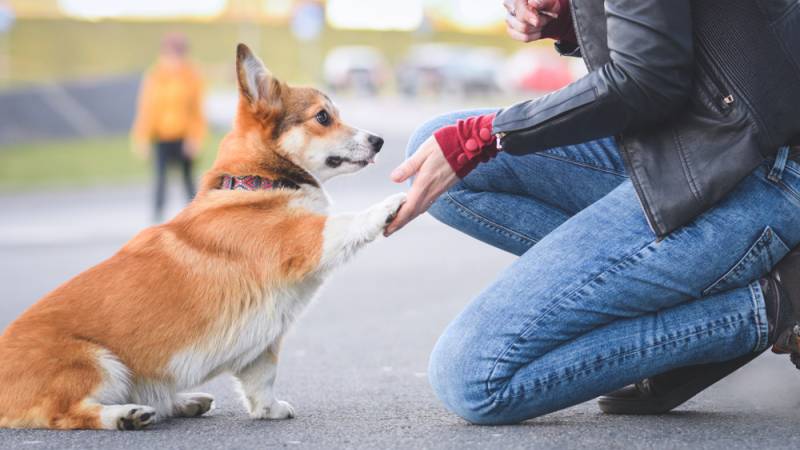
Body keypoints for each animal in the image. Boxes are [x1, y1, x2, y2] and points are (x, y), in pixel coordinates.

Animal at [0, 44, 404, 430]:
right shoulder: (303, 240)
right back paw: (127, 415)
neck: (260, 181)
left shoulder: (265, 340)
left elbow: (262, 379)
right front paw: (389, 205)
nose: (379, 141)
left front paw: (268, 410)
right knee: (67, 413)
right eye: (323, 116)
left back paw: (183, 402)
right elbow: (346, 221)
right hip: (96, 362)